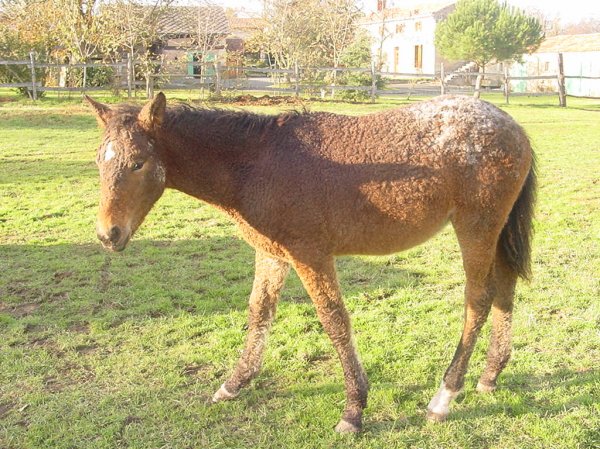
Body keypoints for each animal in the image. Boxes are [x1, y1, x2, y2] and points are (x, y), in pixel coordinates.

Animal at [84, 93, 536, 432]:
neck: (256, 163)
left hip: (475, 227)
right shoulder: (271, 253)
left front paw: (354, 411)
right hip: (495, 232)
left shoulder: (310, 255)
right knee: (505, 289)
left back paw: (443, 398)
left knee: (478, 299)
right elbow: (259, 312)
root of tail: (513, 127)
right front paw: (233, 385)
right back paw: (490, 376)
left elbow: (334, 320)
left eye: (138, 162)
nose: (108, 235)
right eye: (99, 161)